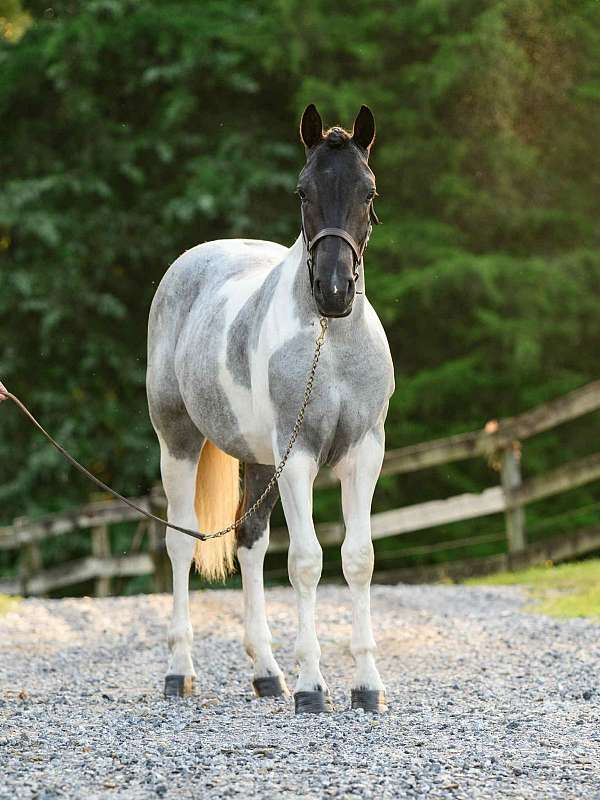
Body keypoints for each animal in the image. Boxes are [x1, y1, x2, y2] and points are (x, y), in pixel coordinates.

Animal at [146, 104, 394, 714]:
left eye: (370, 192)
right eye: (303, 191)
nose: (334, 291)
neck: (331, 343)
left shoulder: (365, 456)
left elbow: (358, 558)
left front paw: (366, 687)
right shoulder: (298, 456)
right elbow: (306, 561)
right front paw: (311, 688)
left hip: (259, 462)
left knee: (250, 541)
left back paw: (266, 673)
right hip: (178, 442)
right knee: (180, 540)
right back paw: (179, 673)